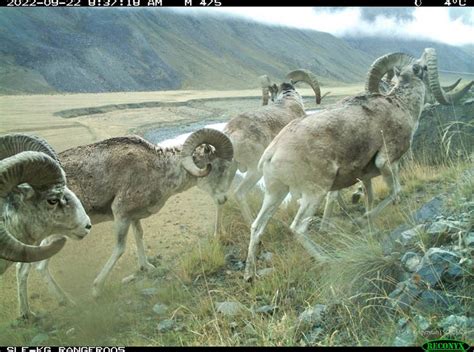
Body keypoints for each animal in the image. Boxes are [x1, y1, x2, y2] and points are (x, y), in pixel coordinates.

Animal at [243, 48, 450, 282]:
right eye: (424, 68)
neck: (401, 106)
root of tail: (272, 152)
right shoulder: (386, 161)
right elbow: (394, 192)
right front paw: (360, 222)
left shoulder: (367, 176)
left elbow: (370, 198)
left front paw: (369, 229)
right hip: (315, 193)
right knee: (298, 228)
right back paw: (325, 259)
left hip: (275, 194)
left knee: (257, 227)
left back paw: (249, 274)